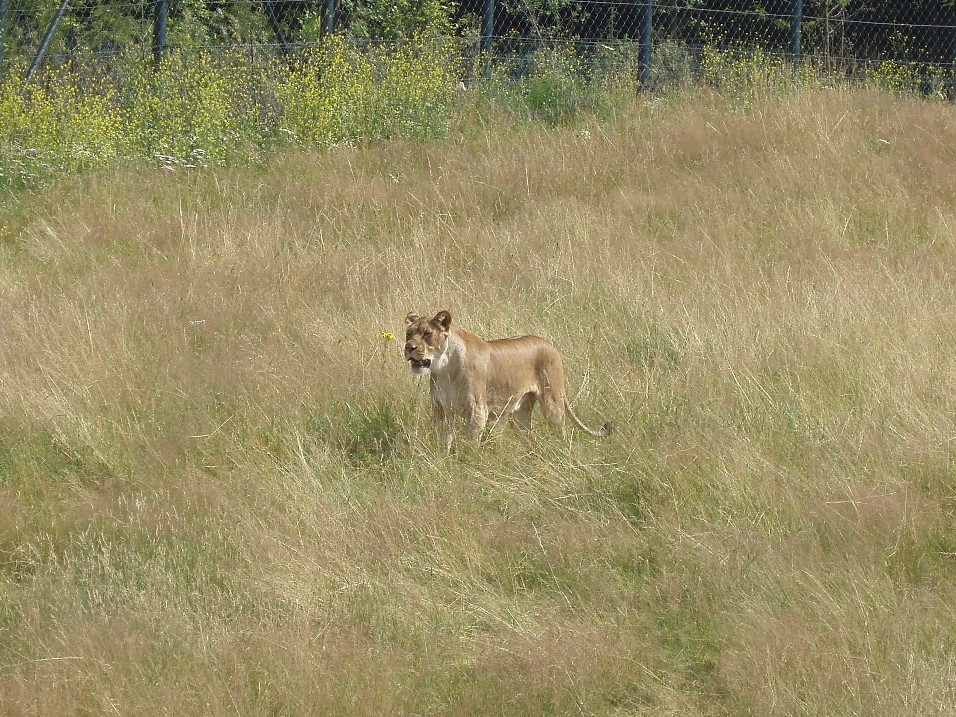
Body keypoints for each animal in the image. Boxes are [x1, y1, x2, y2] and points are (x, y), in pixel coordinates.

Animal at [404, 310, 611, 448]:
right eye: (408, 334)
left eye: (427, 334)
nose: (409, 348)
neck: (444, 368)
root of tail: (549, 344)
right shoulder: (441, 411)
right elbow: (444, 443)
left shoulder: (478, 411)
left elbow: (470, 445)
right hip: (520, 414)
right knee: (530, 440)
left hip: (553, 402)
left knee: (563, 434)